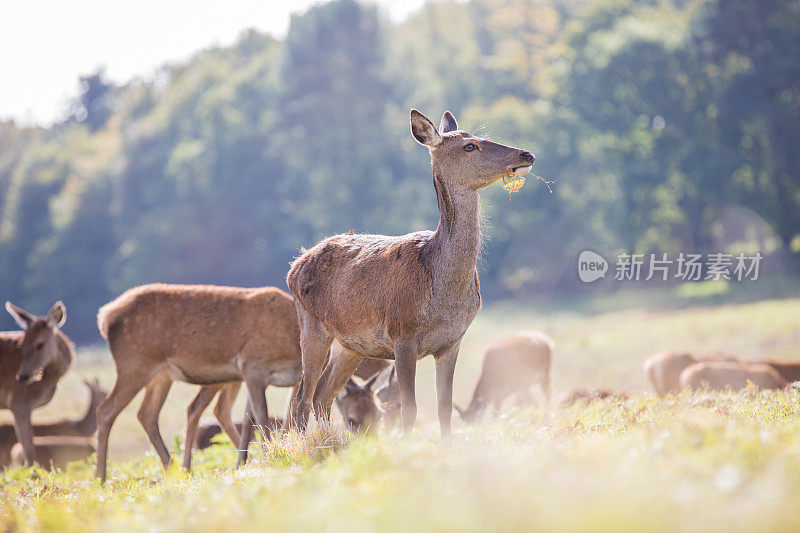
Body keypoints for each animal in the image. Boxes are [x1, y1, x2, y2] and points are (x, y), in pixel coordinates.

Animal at [0, 304, 72, 466]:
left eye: (40, 344)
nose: (21, 376)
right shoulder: (18, 400)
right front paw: (32, 471)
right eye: (22, 344)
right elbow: (28, 446)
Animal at [95, 282, 302, 482]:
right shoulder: (252, 366)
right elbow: (261, 415)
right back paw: (101, 477)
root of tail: (105, 317)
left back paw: (174, 469)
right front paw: (268, 458)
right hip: (134, 365)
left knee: (148, 413)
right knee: (106, 409)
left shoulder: (287, 378)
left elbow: (281, 415)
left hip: (162, 375)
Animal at [284, 109, 536, 436]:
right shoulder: (402, 335)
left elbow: (444, 408)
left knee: (323, 394)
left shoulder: (452, 342)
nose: (527, 154)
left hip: (350, 345)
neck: (444, 293)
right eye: (470, 146)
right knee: (303, 395)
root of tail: (295, 266)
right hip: (311, 324)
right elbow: (409, 410)